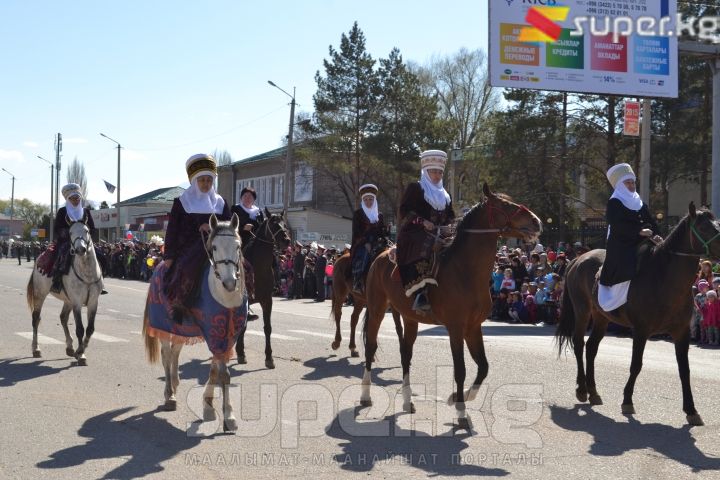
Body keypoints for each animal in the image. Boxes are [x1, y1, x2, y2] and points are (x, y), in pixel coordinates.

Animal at [27, 216, 102, 366]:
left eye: (87, 230)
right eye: (70, 232)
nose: (80, 249)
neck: (87, 273)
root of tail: (38, 259)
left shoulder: (93, 302)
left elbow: (90, 329)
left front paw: (79, 350)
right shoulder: (77, 302)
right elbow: (80, 329)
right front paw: (81, 354)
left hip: (68, 300)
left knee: (63, 318)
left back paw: (70, 347)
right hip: (40, 294)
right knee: (36, 318)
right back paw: (36, 349)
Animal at [143, 214, 248, 432]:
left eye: (238, 246)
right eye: (214, 247)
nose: (229, 282)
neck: (225, 299)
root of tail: (158, 264)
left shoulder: (228, 336)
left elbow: (215, 370)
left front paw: (208, 407)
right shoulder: (215, 334)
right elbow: (224, 374)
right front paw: (228, 416)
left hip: (181, 328)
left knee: (175, 352)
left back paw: (175, 384)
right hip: (164, 326)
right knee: (166, 355)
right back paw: (170, 396)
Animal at [233, 208, 290, 370]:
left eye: (284, 224)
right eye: (273, 224)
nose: (287, 240)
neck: (258, 267)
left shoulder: (267, 300)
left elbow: (267, 328)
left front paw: (269, 358)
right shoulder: (243, 301)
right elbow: (242, 325)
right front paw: (241, 353)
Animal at [360, 183, 540, 428]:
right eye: (505, 205)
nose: (537, 222)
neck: (465, 270)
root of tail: (381, 255)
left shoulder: (473, 327)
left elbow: (483, 366)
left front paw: (458, 397)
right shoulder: (455, 328)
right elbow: (461, 369)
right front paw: (461, 412)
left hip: (409, 317)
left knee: (406, 354)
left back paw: (407, 401)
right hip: (377, 308)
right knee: (370, 347)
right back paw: (365, 395)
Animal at [556, 201, 720, 426]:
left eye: (717, 223)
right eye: (703, 227)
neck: (664, 278)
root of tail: (579, 258)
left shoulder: (681, 332)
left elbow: (684, 370)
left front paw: (691, 410)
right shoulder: (641, 330)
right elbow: (636, 365)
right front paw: (627, 401)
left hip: (601, 317)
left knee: (591, 348)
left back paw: (594, 392)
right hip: (582, 311)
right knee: (579, 344)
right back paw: (581, 390)